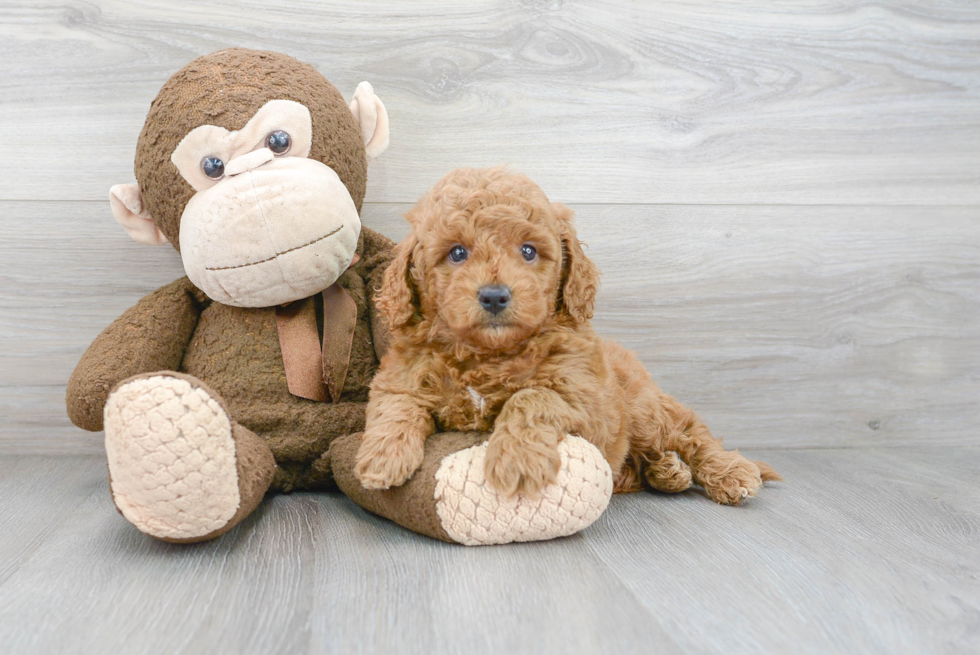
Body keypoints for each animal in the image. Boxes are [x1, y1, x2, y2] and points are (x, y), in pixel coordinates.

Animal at [358, 168, 780, 502]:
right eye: (457, 253)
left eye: (528, 251)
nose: (494, 295)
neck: (489, 354)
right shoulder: (401, 375)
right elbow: (395, 404)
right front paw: (383, 457)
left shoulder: (585, 399)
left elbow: (533, 396)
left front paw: (518, 461)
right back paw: (667, 472)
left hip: (645, 410)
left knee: (692, 433)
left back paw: (729, 472)